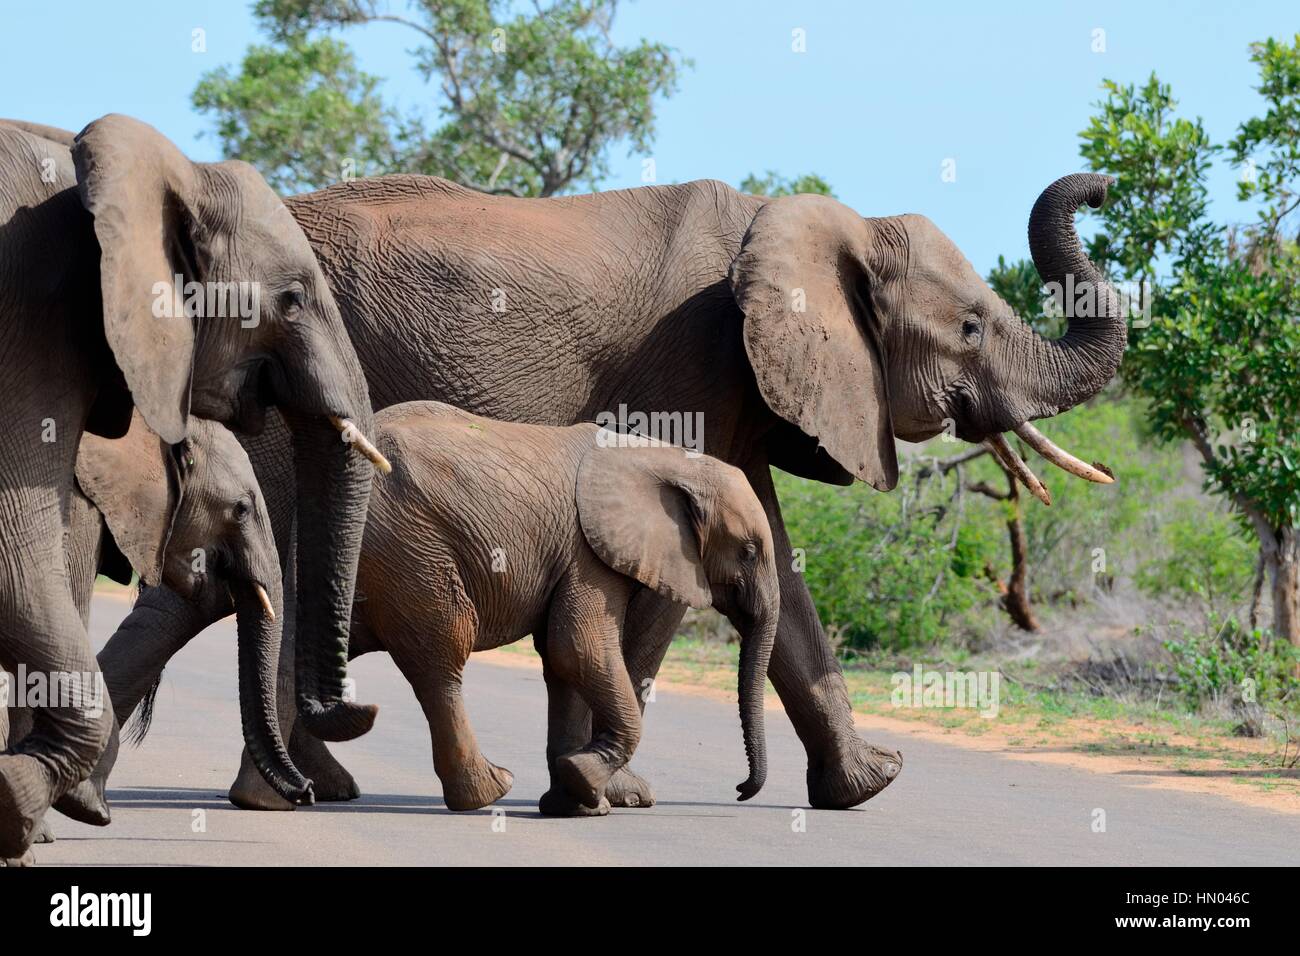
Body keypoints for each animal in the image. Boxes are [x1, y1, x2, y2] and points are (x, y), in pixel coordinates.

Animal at [348, 403, 780, 816]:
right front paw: (583, 780)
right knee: (442, 656)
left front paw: (574, 806)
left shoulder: (577, 554)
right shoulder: (588, 553)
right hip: (410, 546)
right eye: (748, 551)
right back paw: (490, 789)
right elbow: (578, 649)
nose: (740, 791)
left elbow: (563, 665)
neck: (668, 458)